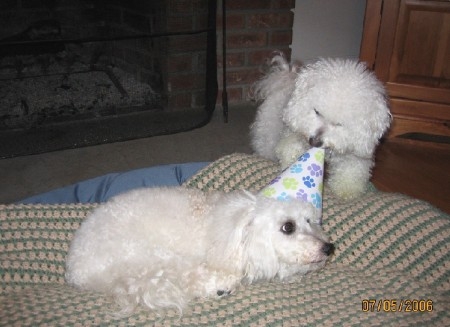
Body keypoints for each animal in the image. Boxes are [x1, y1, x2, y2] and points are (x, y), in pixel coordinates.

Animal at [67, 186, 334, 314]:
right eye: (288, 226)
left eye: (310, 220)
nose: (329, 248)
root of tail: (75, 269)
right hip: (150, 259)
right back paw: (218, 287)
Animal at [250, 53, 390, 201]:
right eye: (317, 112)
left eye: (339, 124)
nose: (315, 142)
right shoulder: (292, 133)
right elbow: (291, 148)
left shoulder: (356, 154)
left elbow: (351, 172)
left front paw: (346, 191)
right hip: (268, 132)